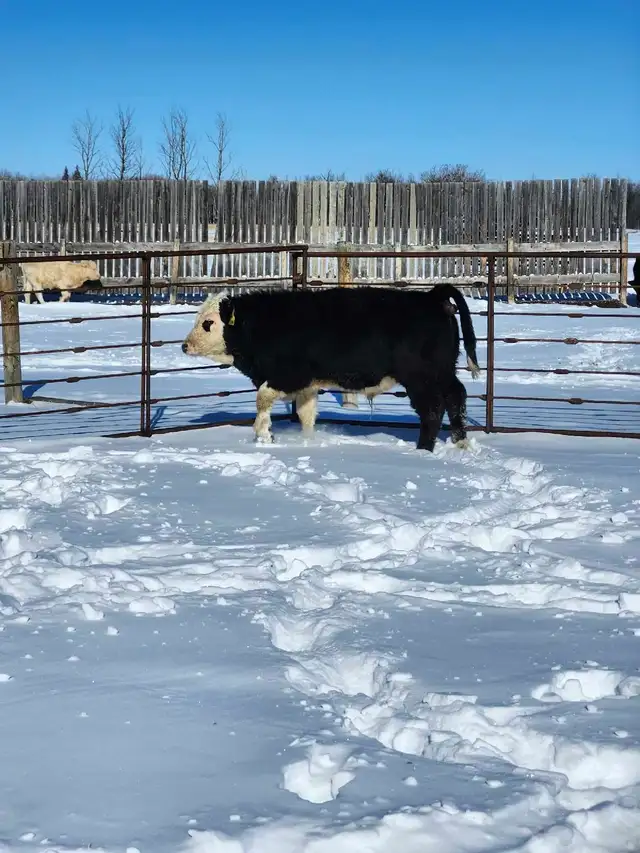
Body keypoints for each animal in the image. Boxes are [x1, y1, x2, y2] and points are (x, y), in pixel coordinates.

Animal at [181, 283, 481, 452]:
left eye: (208, 323)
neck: (265, 324)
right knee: (456, 397)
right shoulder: (307, 384)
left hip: (421, 378)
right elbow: (306, 415)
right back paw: (461, 442)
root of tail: (430, 297)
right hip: (443, 372)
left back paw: (422, 450)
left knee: (432, 409)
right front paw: (308, 442)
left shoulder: (287, 376)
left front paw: (264, 434)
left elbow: (262, 399)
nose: (185, 346)